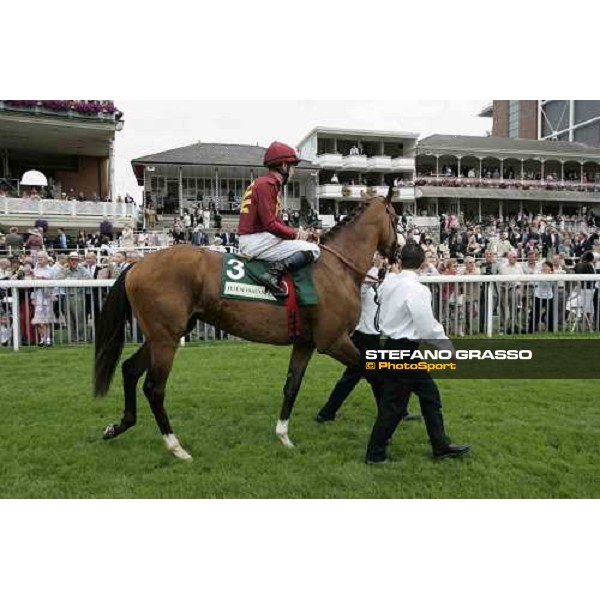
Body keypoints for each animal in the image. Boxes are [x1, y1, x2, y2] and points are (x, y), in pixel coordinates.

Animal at [94, 192, 398, 460]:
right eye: (396, 218)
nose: (397, 252)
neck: (336, 268)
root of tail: (136, 265)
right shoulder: (334, 341)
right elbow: (374, 373)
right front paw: (390, 422)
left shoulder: (306, 342)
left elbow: (292, 386)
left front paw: (284, 437)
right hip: (166, 339)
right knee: (154, 388)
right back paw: (176, 447)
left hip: (162, 335)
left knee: (130, 369)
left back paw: (117, 427)